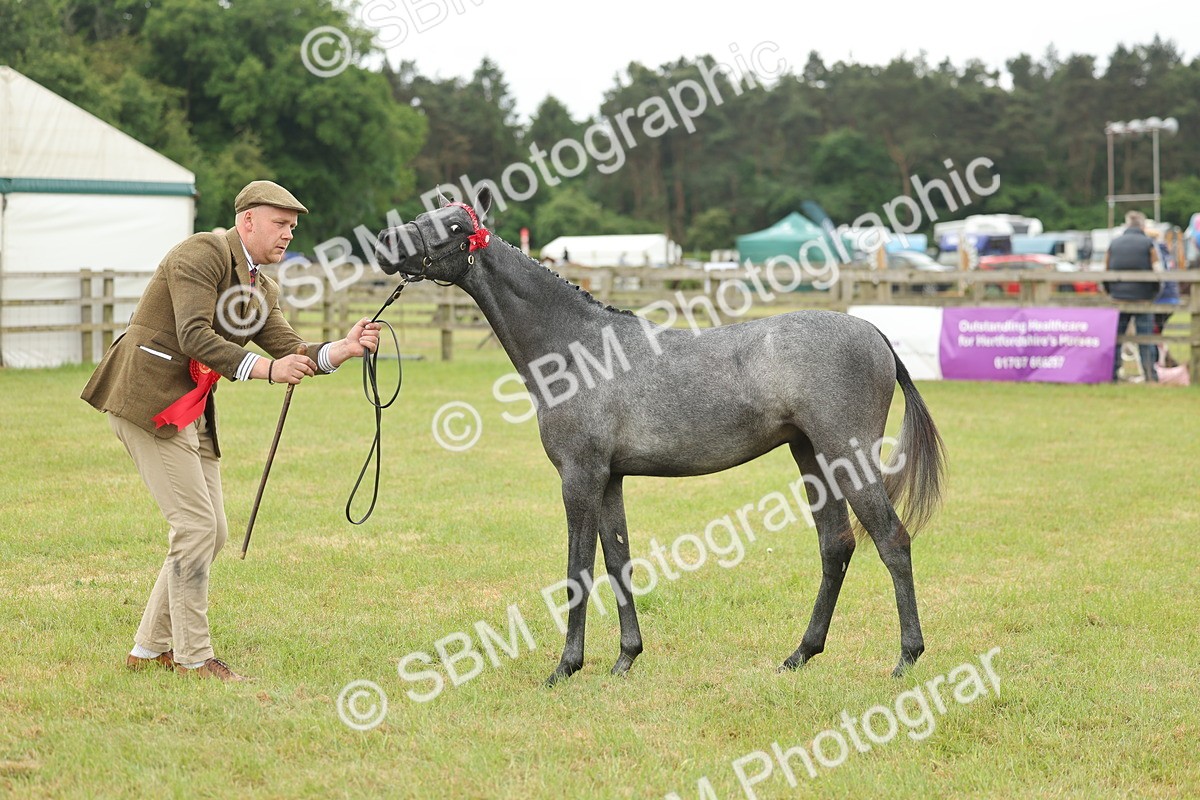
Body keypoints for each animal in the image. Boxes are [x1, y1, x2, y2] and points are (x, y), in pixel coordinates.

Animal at [376, 189, 946, 684]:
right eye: (429, 214)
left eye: (455, 226)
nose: (384, 243)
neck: (578, 349)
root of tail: (875, 335)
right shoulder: (609, 479)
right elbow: (617, 560)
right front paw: (625, 657)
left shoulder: (580, 477)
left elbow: (578, 568)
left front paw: (566, 667)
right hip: (813, 458)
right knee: (836, 545)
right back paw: (800, 654)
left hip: (847, 456)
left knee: (891, 540)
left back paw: (906, 657)